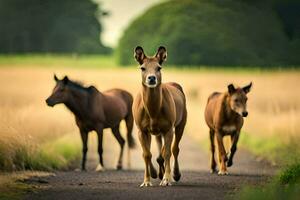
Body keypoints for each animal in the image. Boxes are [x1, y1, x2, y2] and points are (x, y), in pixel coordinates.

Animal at [132, 46, 186, 187]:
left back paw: (175, 174)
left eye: (159, 68)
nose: (151, 78)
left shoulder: (168, 128)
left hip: (181, 122)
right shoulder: (141, 129)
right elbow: (146, 154)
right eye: (142, 68)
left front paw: (166, 179)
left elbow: (167, 152)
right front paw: (146, 181)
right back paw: (156, 173)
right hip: (154, 131)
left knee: (175, 148)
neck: (153, 112)